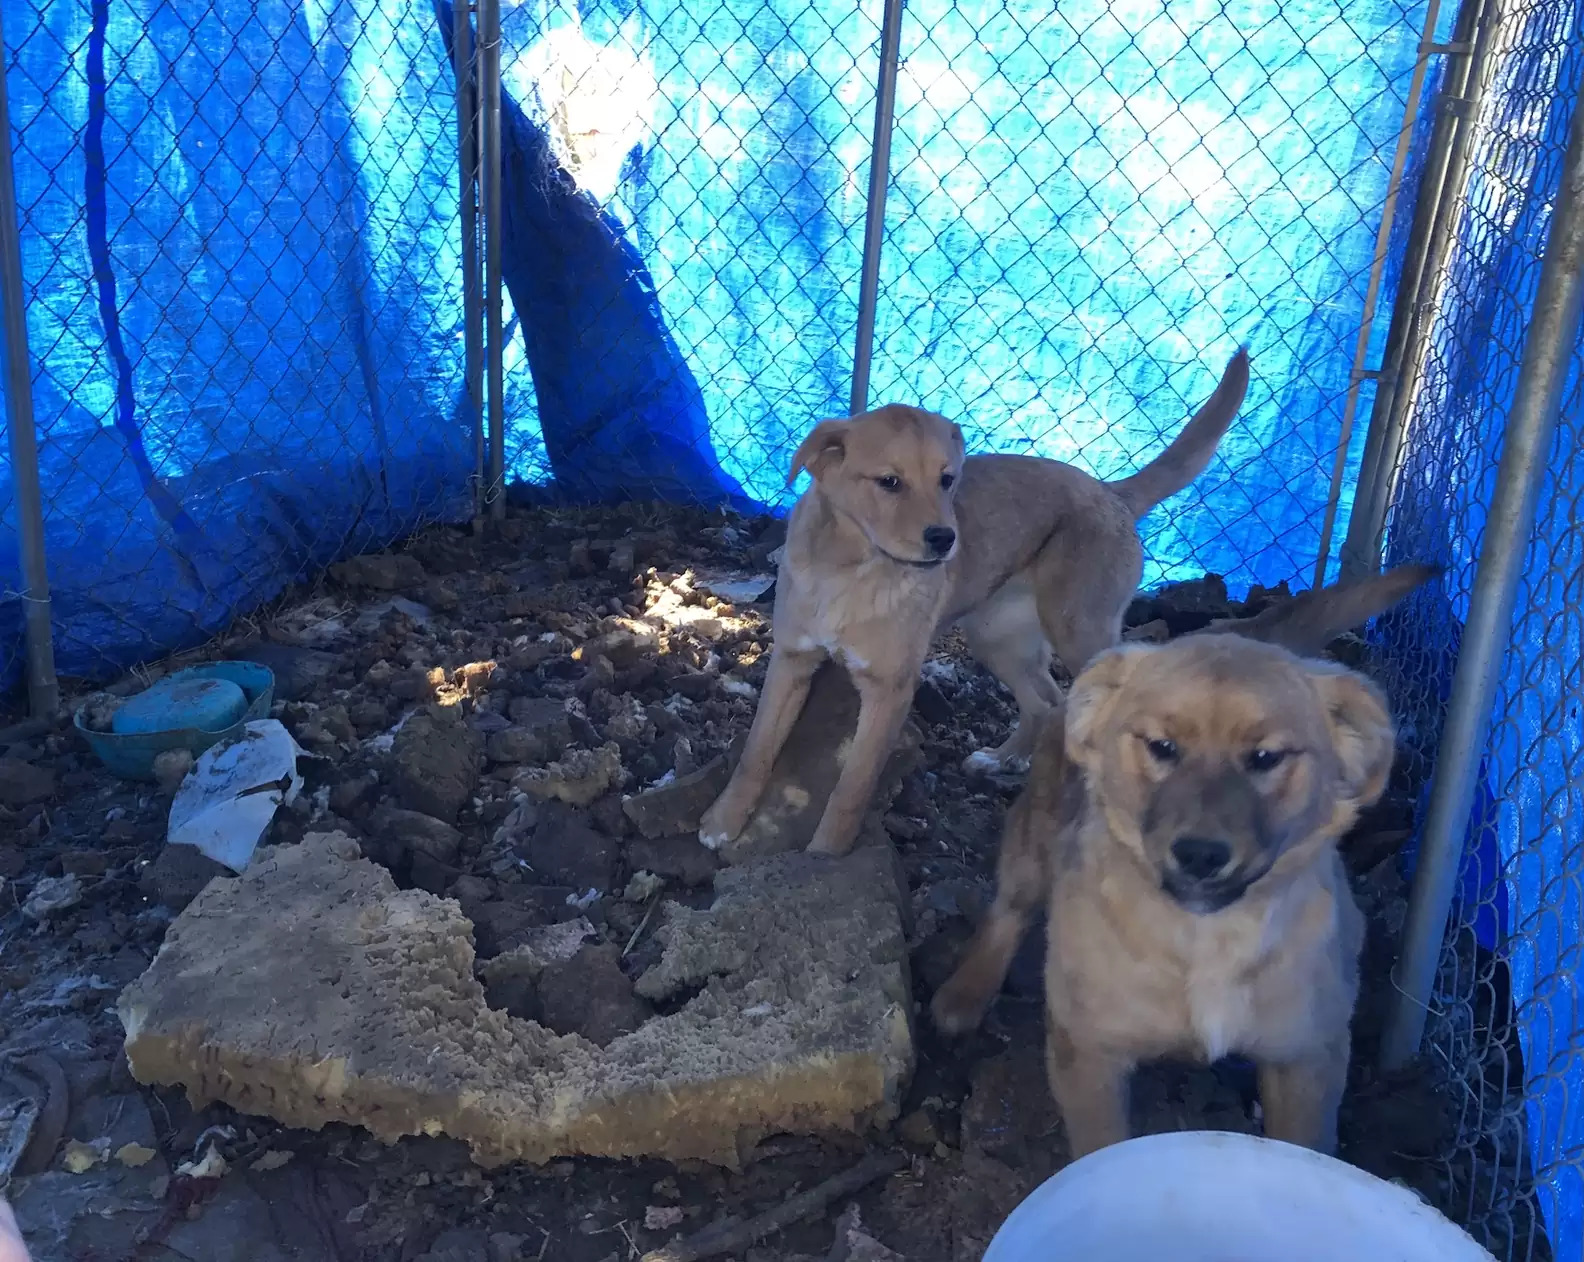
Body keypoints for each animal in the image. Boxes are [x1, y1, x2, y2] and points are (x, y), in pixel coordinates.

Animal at [703, 346, 1248, 855]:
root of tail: (1111, 492)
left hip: (1079, 630)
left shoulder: (889, 691)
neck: (852, 572)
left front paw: (824, 857)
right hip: (996, 638)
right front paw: (723, 820)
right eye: (889, 482)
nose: (946, 539)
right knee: (1046, 702)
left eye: (947, 479)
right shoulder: (791, 661)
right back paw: (1003, 759)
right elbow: (756, 752)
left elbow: (851, 788)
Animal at [925, 566, 1438, 1159]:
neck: (1205, 940)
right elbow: (1102, 1151)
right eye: (1161, 747)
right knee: (1007, 911)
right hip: (1034, 839)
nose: (1200, 854)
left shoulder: (1308, 1061)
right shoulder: (1090, 1057)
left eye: (1266, 757)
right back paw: (964, 994)